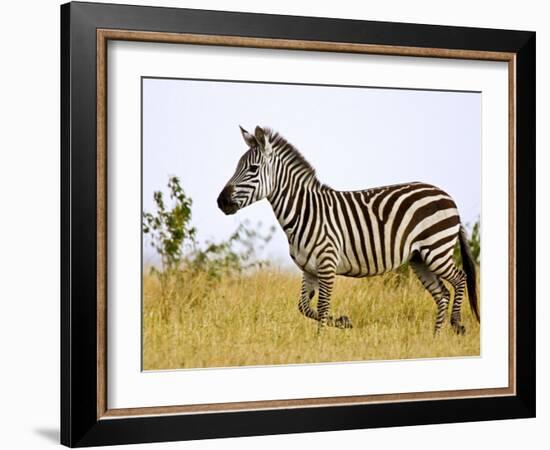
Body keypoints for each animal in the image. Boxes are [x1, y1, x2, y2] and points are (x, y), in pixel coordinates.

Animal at [218, 124, 480, 334]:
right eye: (237, 166)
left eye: (252, 169)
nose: (221, 201)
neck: (305, 211)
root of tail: (447, 196)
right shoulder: (309, 269)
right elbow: (304, 307)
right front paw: (344, 322)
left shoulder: (327, 264)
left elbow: (322, 307)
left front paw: (319, 342)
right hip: (420, 259)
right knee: (442, 294)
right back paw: (436, 337)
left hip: (436, 249)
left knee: (460, 278)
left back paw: (457, 324)